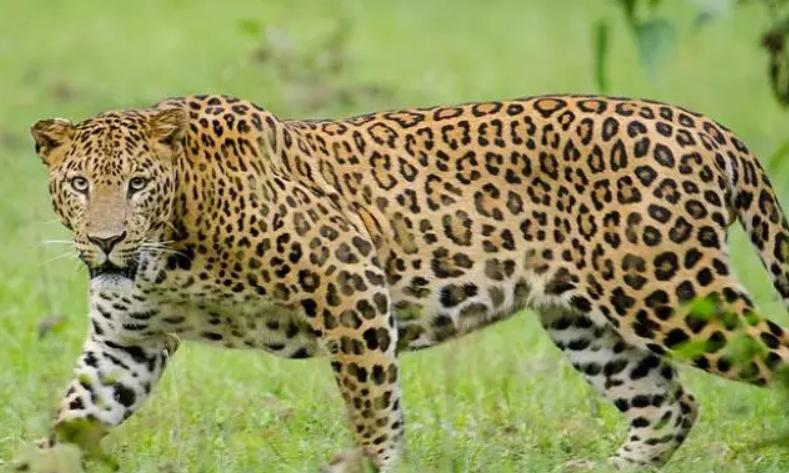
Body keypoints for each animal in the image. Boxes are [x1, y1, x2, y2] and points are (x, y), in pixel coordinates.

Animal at [28, 93, 789, 471]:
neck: (172, 250)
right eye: (79, 184)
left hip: (669, 292)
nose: (106, 240)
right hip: (587, 319)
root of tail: (709, 127)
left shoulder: (349, 281)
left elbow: (373, 410)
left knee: (767, 358)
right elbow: (72, 418)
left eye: (136, 183)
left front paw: (372, 462)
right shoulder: (125, 345)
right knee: (668, 406)